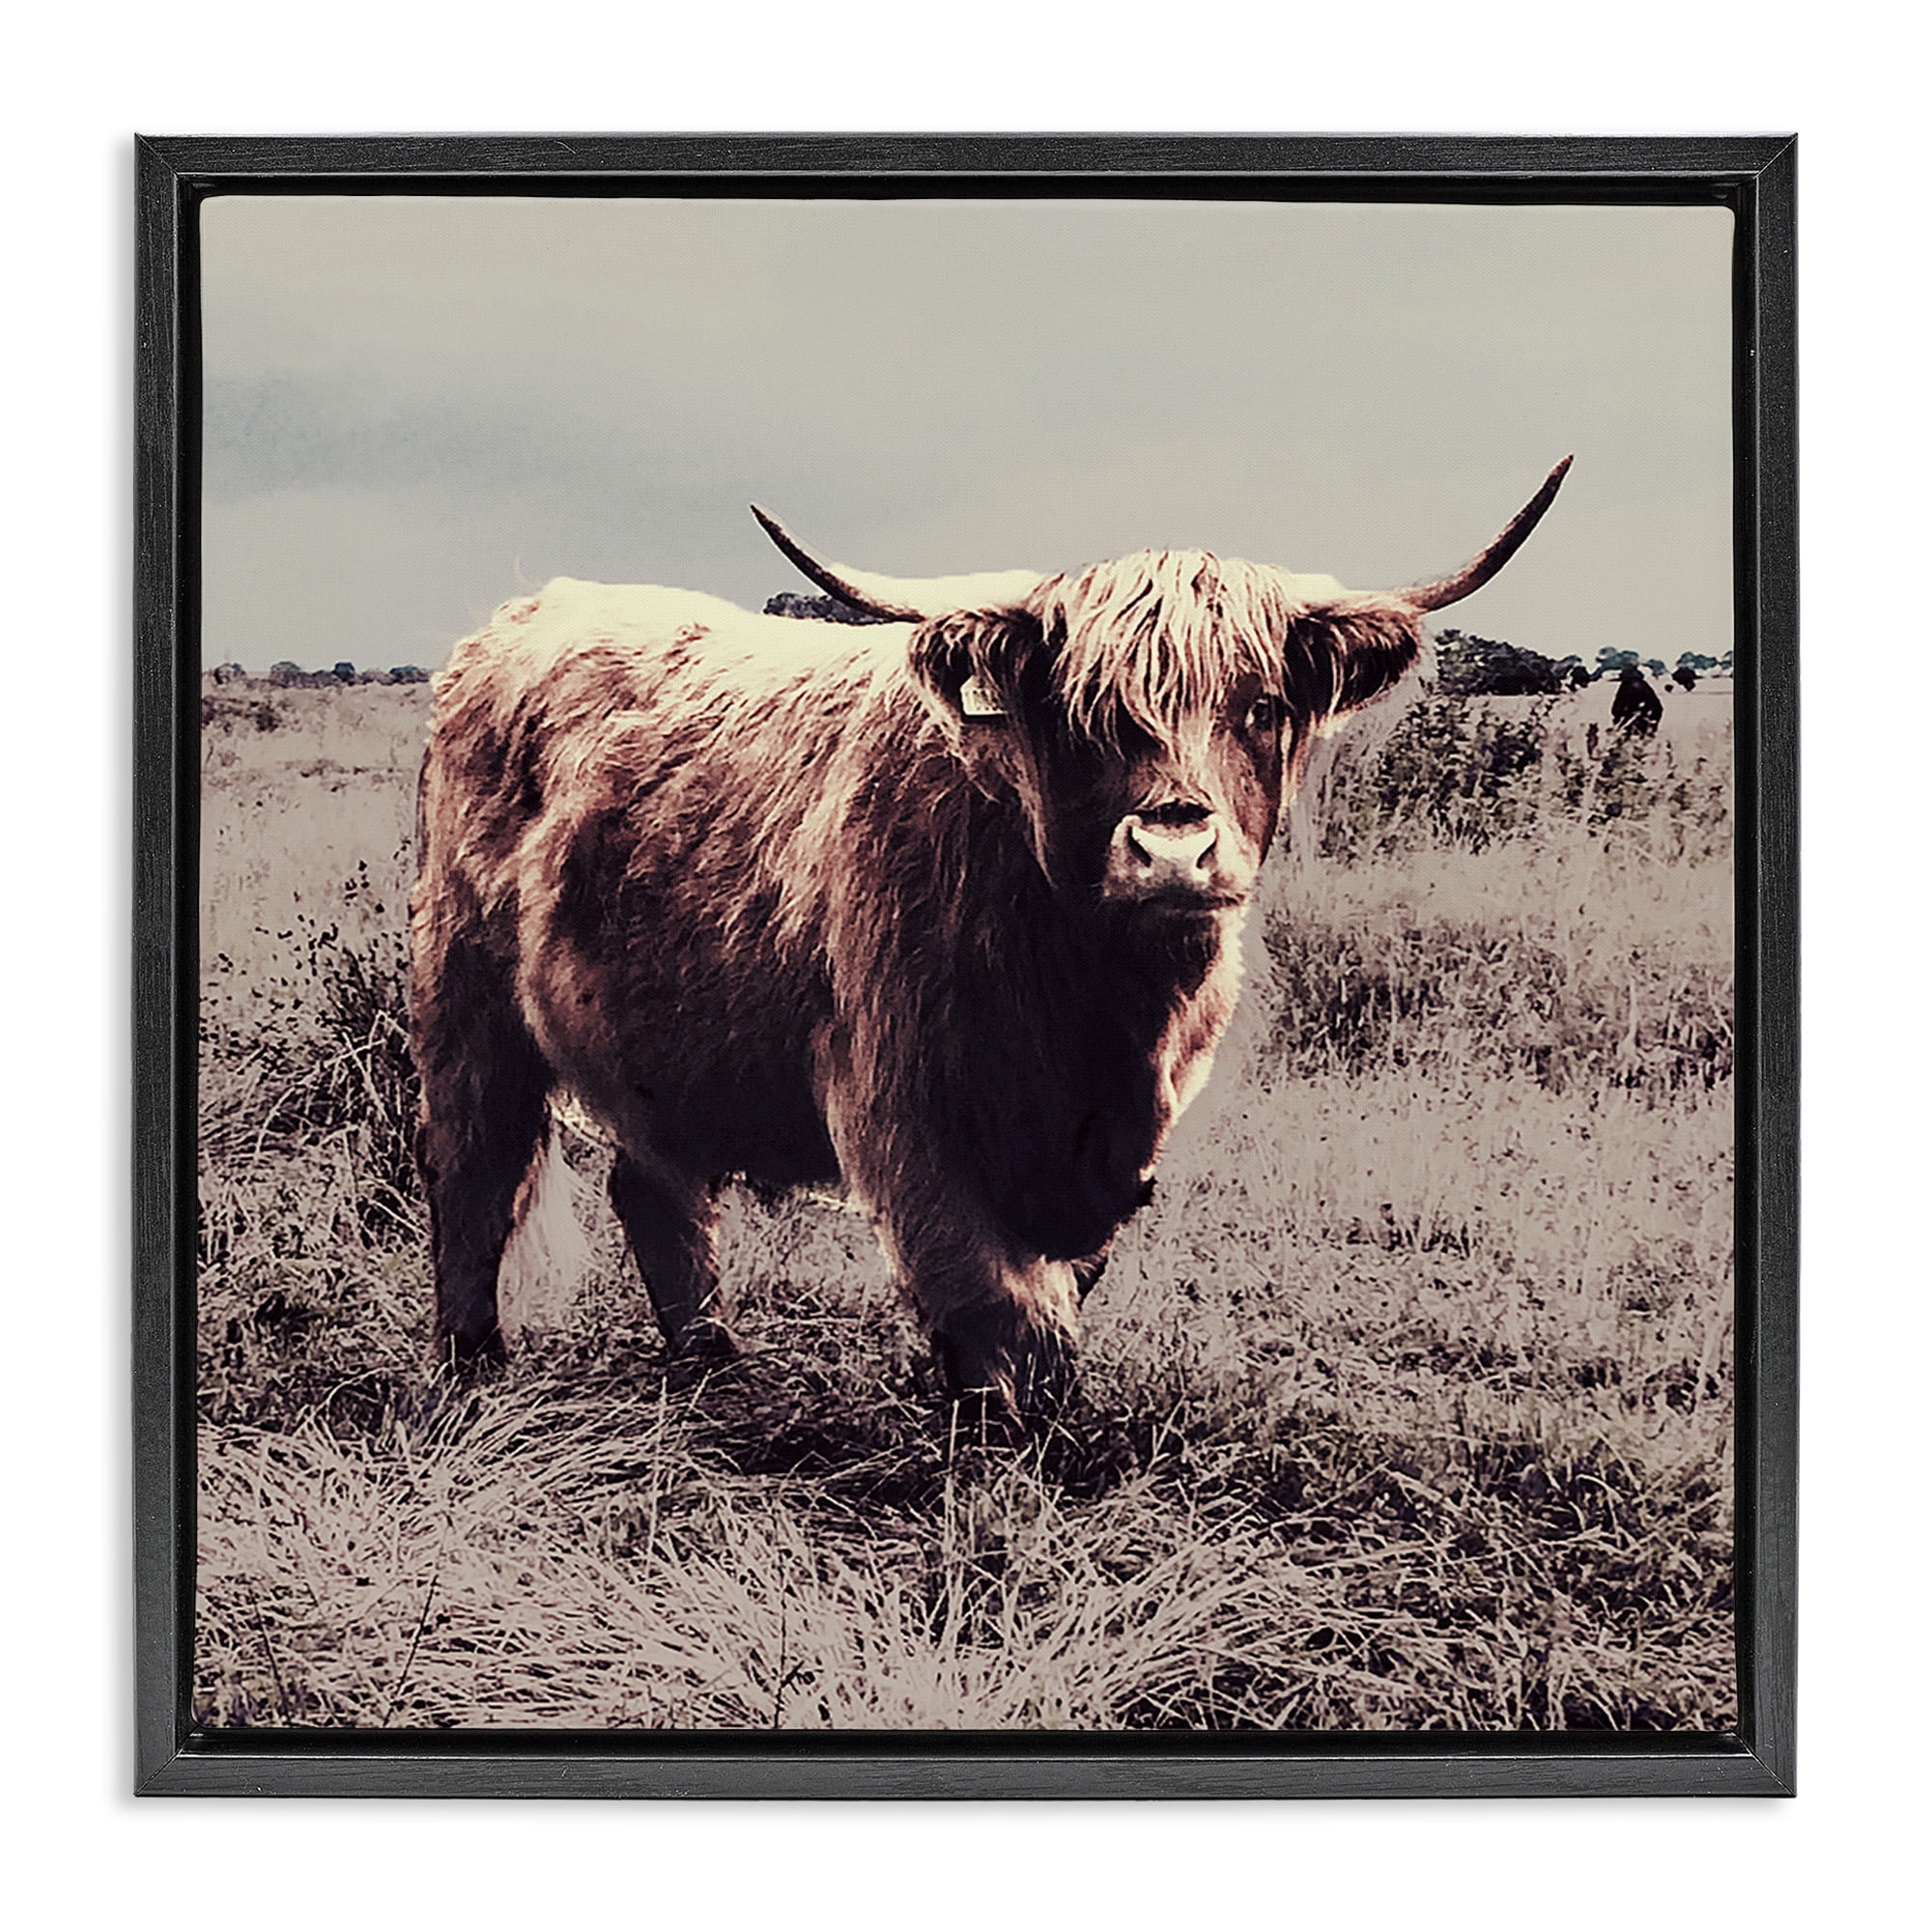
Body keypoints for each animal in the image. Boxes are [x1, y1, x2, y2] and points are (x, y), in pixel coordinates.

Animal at [410, 460, 1571, 1421]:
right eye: (1083, 714)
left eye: (1261, 704)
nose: (1172, 848)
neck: (1096, 1008)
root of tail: (526, 612)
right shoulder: (903, 1106)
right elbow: (991, 1298)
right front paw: (1000, 1444)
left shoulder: (1118, 1144)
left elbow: (1058, 1290)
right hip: (464, 997)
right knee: (473, 1168)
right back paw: (473, 1367)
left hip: (658, 1041)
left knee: (654, 1187)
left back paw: (712, 1368)